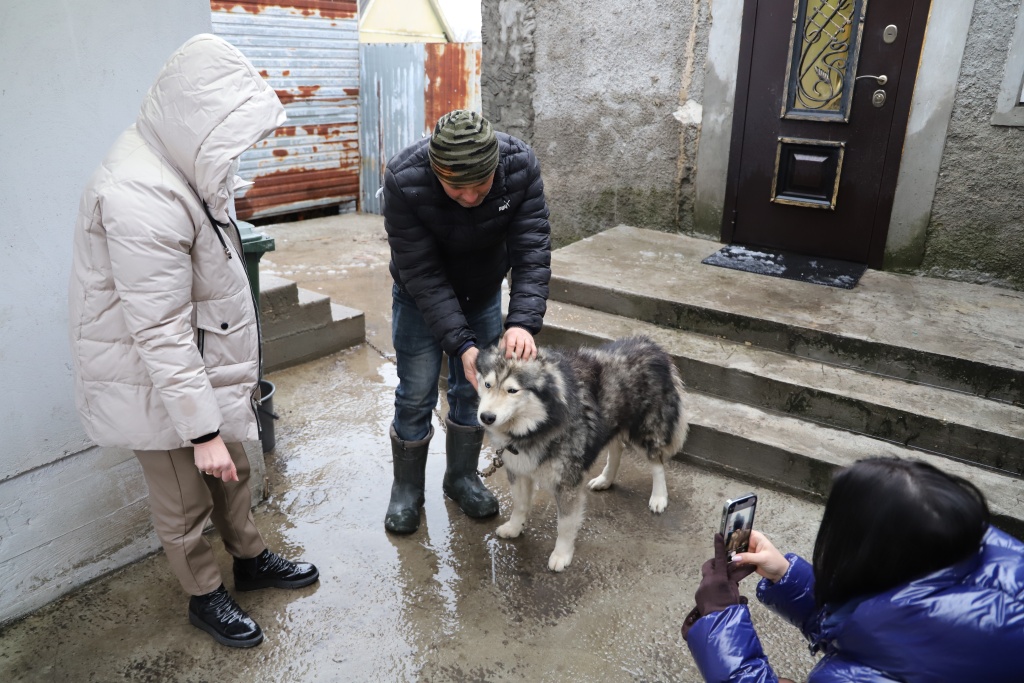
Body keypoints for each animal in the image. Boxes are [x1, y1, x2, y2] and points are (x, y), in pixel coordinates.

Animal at [473, 335, 688, 573]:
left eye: (512, 390)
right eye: (487, 384)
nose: (486, 417)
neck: (538, 425)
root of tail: (652, 345)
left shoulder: (567, 482)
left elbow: (565, 524)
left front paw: (562, 554)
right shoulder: (518, 469)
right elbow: (520, 503)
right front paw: (514, 527)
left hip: (645, 430)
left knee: (656, 462)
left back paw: (659, 497)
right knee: (617, 448)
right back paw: (605, 479)